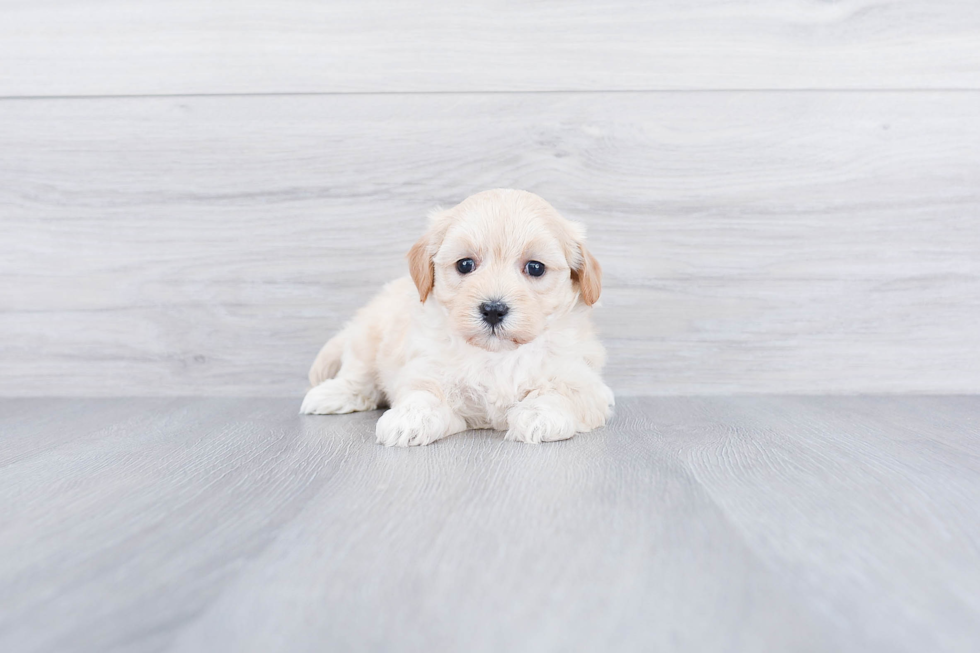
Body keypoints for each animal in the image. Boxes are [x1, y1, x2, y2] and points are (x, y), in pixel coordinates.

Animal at [302, 186, 616, 446]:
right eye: (465, 264)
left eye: (535, 267)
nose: (493, 309)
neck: (497, 356)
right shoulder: (426, 369)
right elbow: (423, 394)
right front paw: (409, 419)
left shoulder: (583, 380)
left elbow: (561, 392)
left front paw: (539, 416)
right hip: (368, 337)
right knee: (358, 376)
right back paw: (328, 395)